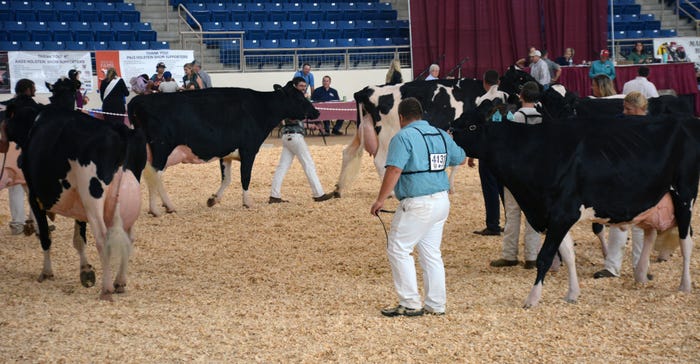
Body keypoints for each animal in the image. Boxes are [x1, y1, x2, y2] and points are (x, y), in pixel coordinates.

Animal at [0, 78, 148, 300]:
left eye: (10, 113)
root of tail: (119, 130)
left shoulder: (35, 195)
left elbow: (45, 236)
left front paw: (46, 272)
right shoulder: (78, 201)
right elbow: (79, 238)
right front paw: (85, 271)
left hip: (93, 195)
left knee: (103, 238)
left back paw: (106, 289)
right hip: (123, 198)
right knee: (128, 237)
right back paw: (120, 282)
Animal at [127, 81, 318, 215]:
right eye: (299, 97)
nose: (316, 112)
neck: (260, 108)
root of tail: (139, 99)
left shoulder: (226, 154)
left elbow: (227, 179)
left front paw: (213, 200)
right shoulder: (249, 150)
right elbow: (245, 177)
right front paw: (247, 202)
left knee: (152, 175)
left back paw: (162, 207)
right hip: (162, 148)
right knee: (155, 174)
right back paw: (160, 208)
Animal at [454, 101, 700, 308]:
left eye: (473, 126)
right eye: (457, 122)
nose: (450, 137)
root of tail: (687, 120)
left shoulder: (563, 213)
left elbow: (545, 257)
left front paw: (532, 299)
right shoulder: (551, 215)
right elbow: (568, 254)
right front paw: (572, 294)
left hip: (684, 196)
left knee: (686, 241)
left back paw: (684, 285)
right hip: (654, 200)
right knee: (651, 233)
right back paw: (640, 275)